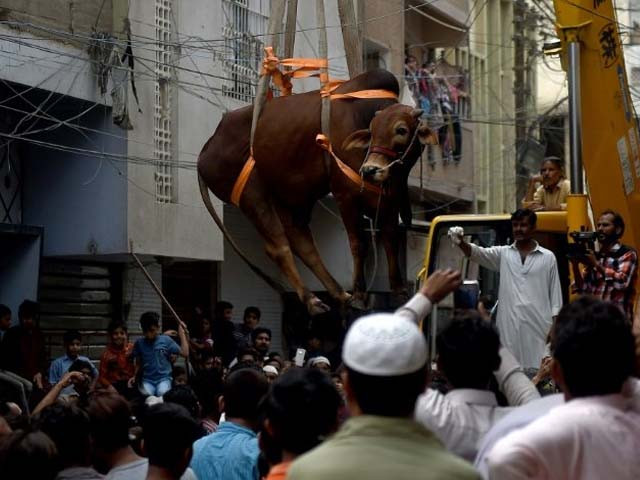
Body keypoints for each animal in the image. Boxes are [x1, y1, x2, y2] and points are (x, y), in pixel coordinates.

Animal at [198, 68, 438, 316]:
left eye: (401, 130)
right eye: (371, 132)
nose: (371, 170)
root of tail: (206, 151)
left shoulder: (390, 199)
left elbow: (390, 241)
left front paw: (399, 292)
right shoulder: (345, 195)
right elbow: (358, 243)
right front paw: (359, 295)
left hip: (292, 200)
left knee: (303, 243)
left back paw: (338, 294)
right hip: (253, 196)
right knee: (278, 247)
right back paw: (313, 299)